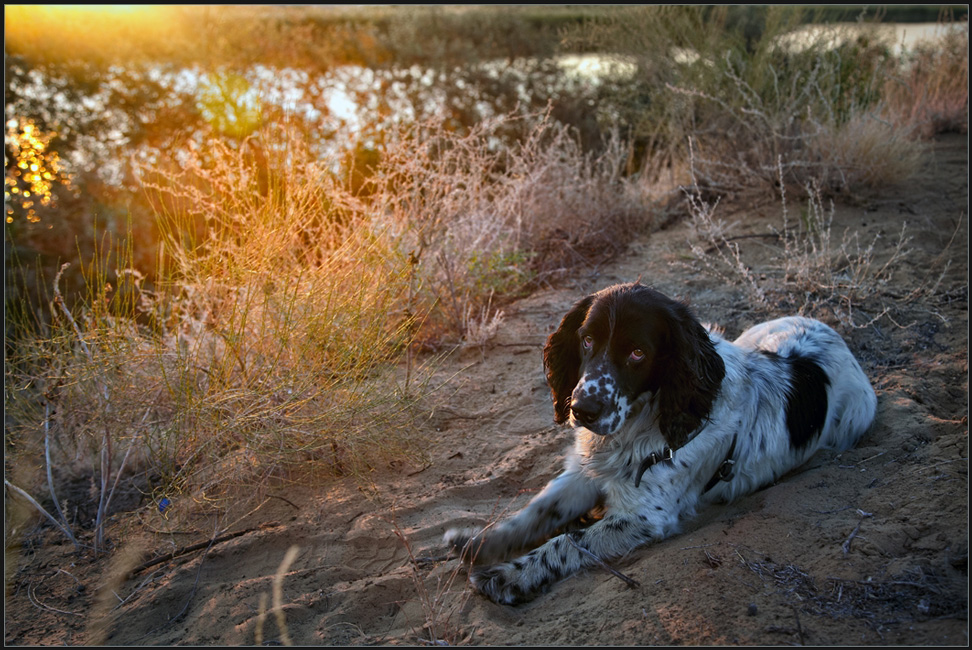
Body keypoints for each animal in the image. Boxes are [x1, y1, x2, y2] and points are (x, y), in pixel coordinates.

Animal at [444, 280, 876, 604]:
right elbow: (536, 512)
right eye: (587, 340)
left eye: (638, 353)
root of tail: (834, 334)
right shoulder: (583, 474)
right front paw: (480, 542)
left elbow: (567, 540)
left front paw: (507, 576)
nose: (582, 409)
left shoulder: (645, 516)